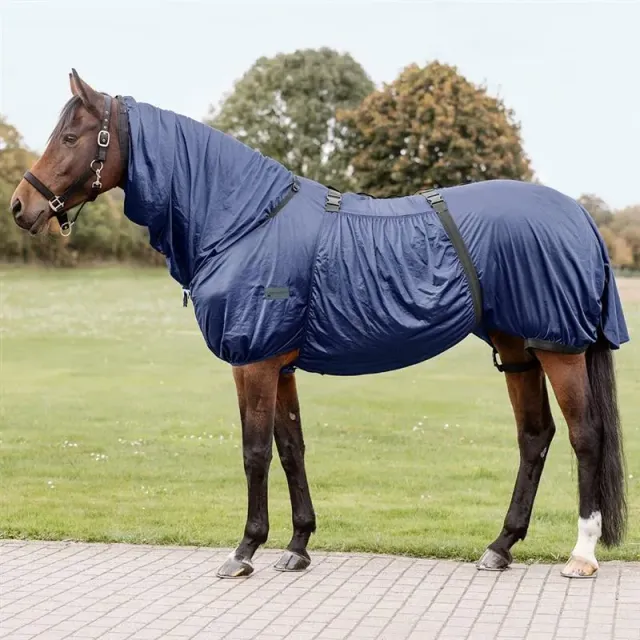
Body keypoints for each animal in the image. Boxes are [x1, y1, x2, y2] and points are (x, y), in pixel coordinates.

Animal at [10, 69, 629, 580]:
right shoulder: (279, 365)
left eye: (70, 138)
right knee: (535, 436)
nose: (20, 206)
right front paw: (298, 546)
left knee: (584, 436)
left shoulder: (253, 361)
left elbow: (254, 451)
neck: (245, 220)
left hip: (560, 349)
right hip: (518, 350)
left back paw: (581, 555)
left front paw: (245, 550)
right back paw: (500, 547)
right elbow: (291, 448)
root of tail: (578, 214)